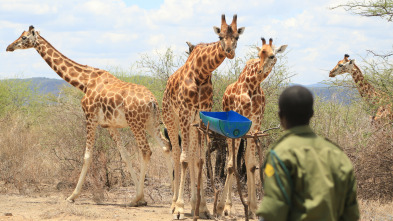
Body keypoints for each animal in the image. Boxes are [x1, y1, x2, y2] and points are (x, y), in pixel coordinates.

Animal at [5, 25, 172, 205]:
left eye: (24, 37)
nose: (9, 47)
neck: (84, 82)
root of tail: (153, 101)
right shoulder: (110, 125)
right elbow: (125, 155)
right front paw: (141, 198)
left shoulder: (90, 117)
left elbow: (87, 156)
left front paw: (72, 196)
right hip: (151, 123)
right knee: (165, 146)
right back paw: (172, 196)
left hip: (136, 124)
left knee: (146, 151)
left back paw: (141, 200)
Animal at [161, 14, 243, 219]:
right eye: (220, 36)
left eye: (237, 37)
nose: (229, 51)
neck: (201, 73)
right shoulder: (183, 112)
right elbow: (183, 159)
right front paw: (180, 208)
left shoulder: (200, 115)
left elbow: (198, 160)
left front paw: (203, 208)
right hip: (171, 119)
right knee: (176, 153)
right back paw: (173, 204)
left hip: (190, 123)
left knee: (190, 155)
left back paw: (192, 205)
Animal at [219, 37, 286, 218]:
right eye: (259, 54)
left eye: (272, 55)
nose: (261, 70)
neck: (253, 85)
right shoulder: (236, 123)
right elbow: (231, 164)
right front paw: (224, 207)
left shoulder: (256, 124)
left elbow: (250, 164)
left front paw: (254, 208)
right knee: (230, 161)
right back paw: (226, 206)